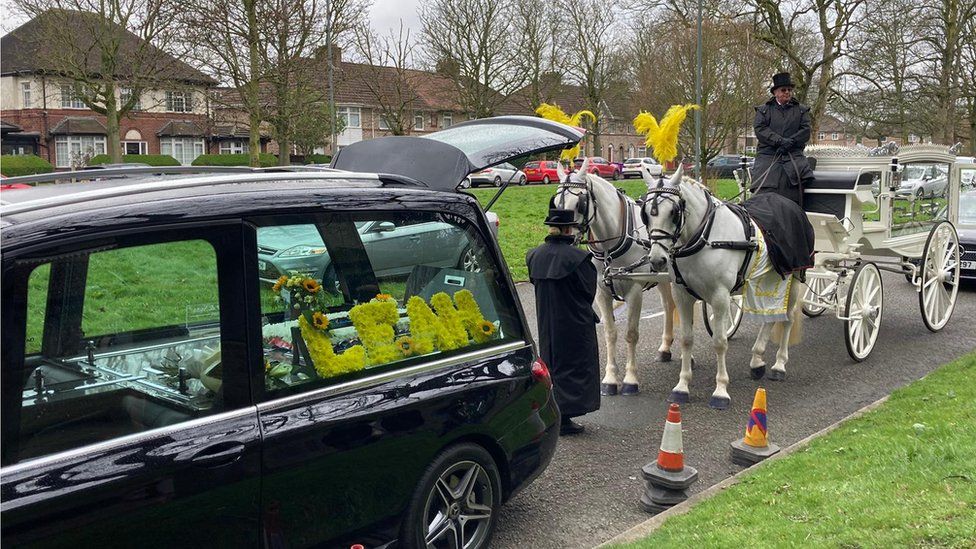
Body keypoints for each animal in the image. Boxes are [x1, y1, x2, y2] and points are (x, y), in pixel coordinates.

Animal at [552, 158, 684, 394]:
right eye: (556, 203)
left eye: (579, 204)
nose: (562, 238)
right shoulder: (602, 292)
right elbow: (610, 333)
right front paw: (611, 378)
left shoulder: (635, 291)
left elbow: (631, 334)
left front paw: (630, 379)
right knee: (668, 305)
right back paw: (665, 348)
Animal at [632, 165, 800, 408]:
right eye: (645, 213)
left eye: (673, 212)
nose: (656, 259)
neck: (703, 237)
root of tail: (790, 204)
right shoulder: (682, 294)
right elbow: (686, 339)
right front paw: (682, 386)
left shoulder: (720, 296)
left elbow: (720, 342)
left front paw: (720, 390)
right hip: (766, 280)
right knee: (769, 318)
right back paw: (757, 360)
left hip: (794, 278)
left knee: (787, 318)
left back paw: (779, 365)